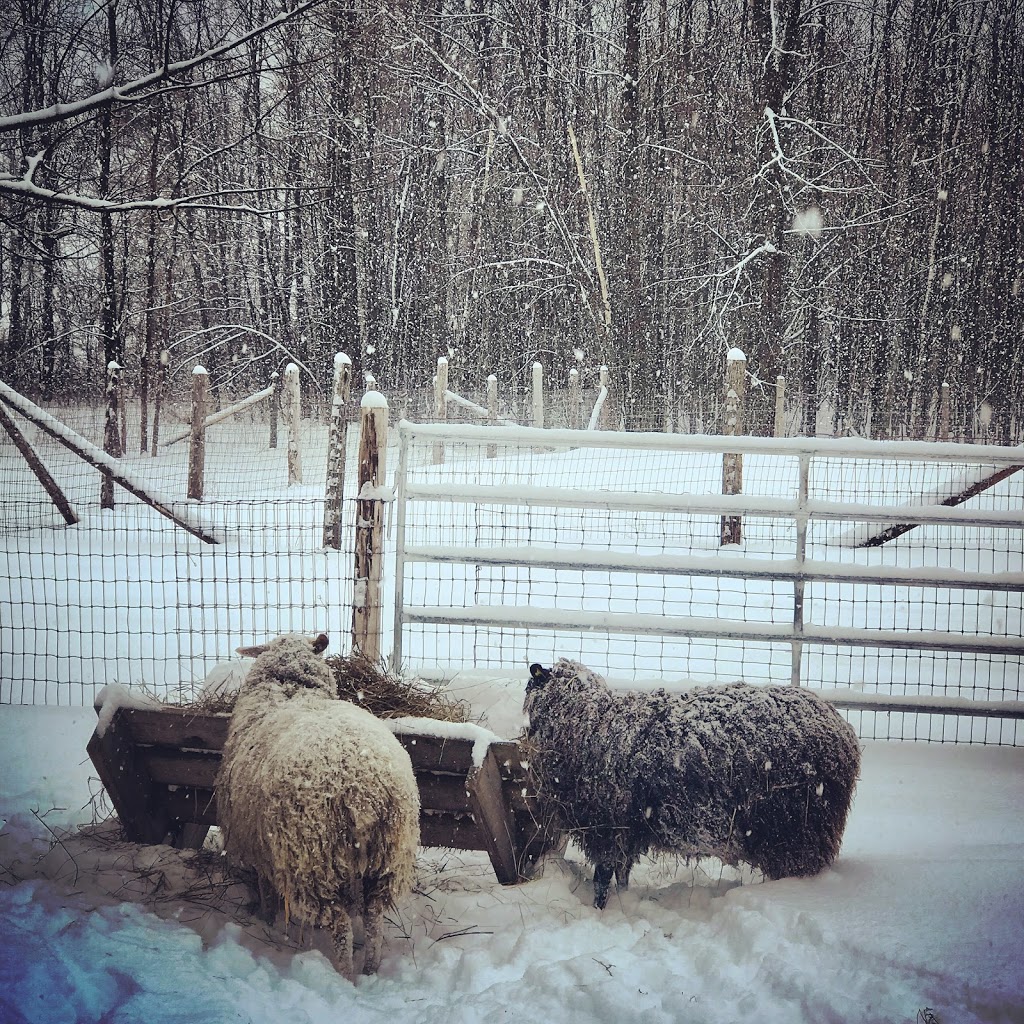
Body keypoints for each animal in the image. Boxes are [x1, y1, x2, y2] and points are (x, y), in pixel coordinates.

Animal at [216, 630, 419, 974]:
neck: (290, 690)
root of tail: (361, 788)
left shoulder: (261, 846)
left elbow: (266, 890)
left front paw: (265, 921)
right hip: (388, 855)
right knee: (373, 915)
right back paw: (371, 968)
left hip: (315, 860)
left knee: (340, 925)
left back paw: (344, 973)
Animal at [524, 659, 860, 909]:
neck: (587, 723)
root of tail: (842, 731)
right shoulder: (628, 830)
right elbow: (622, 872)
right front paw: (625, 898)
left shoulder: (607, 827)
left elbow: (603, 878)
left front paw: (600, 910)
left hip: (797, 831)